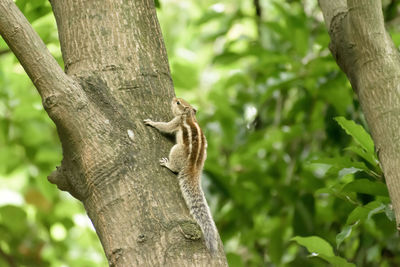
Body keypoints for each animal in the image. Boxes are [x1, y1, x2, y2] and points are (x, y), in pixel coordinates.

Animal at [144, 97, 219, 254]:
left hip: (176, 150)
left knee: (175, 167)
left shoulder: (176, 121)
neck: (189, 116)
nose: (174, 98)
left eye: (178, 103)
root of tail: (194, 169)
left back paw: (168, 164)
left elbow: (165, 126)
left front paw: (152, 122)